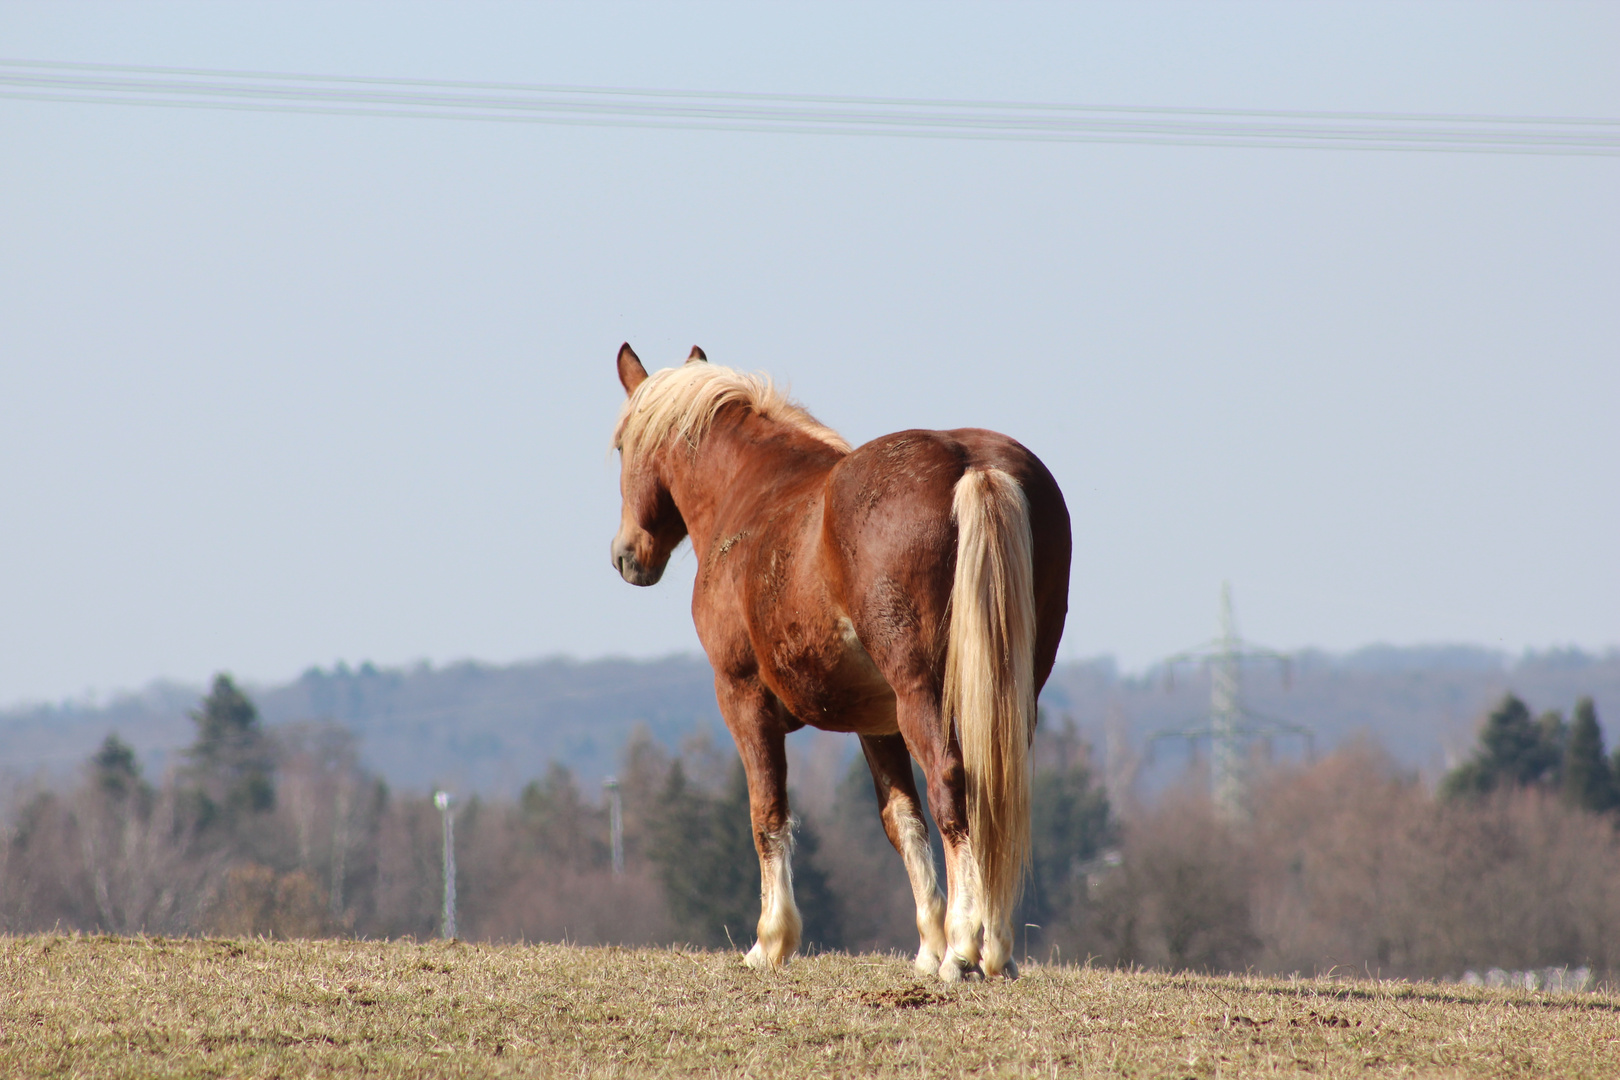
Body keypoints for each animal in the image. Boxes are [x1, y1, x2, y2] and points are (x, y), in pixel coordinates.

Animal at [605, 344, 1062, 977]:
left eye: (623, 446)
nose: (627, 556)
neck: (750, 492)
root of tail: (973, 465)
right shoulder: (877, 723)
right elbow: (903, 821)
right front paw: (927, 945)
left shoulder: (741, 696)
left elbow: (767, 814)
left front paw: (770, 941)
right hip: (1010, 692)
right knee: (994, 792)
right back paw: (992, 948)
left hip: (923, 691)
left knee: (952, 782)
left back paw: (967, 945)